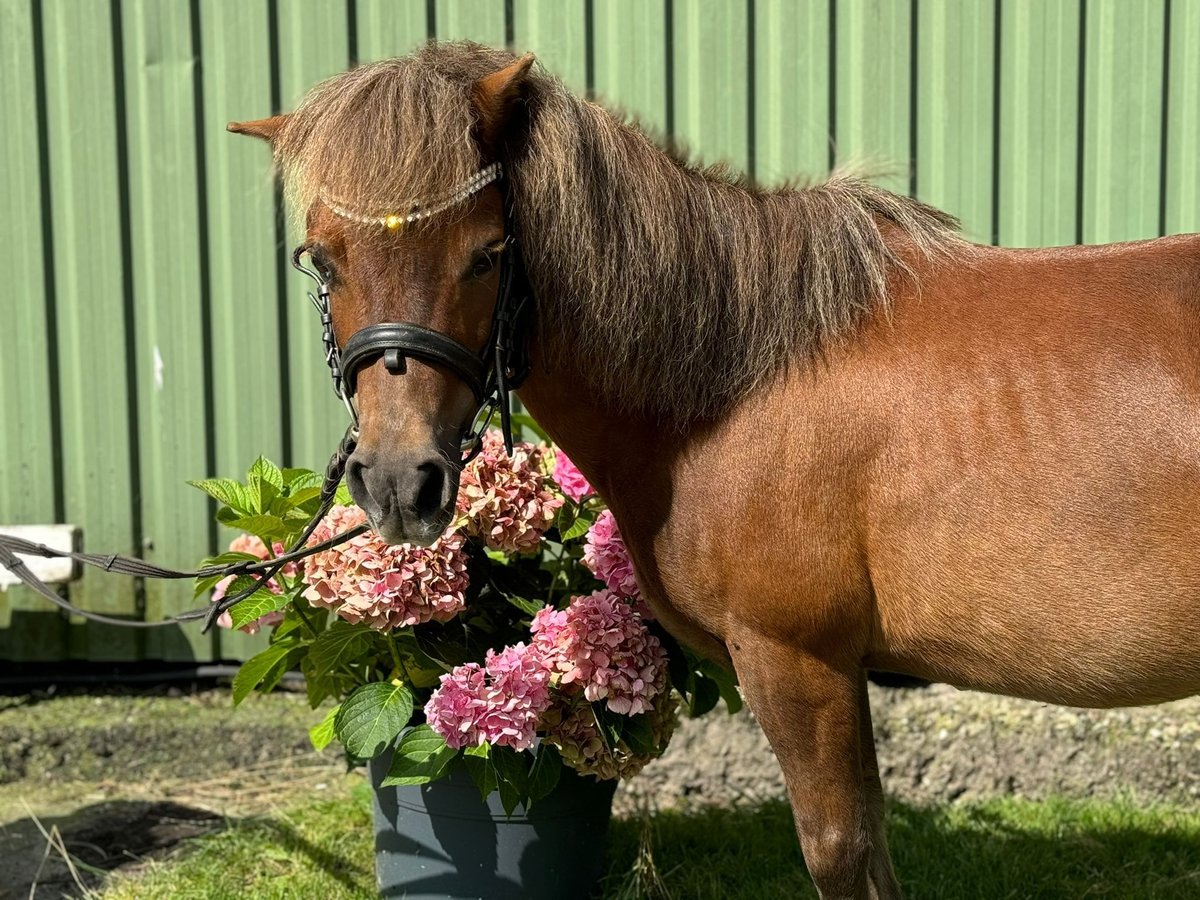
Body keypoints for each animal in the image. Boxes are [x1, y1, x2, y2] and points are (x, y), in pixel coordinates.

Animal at [226, 44, 1200, 900]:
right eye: (322, 258)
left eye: (486, 253)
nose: (400, 481)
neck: (735, 376)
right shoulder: (834, 666)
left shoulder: (796, 658)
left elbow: (840, 850)